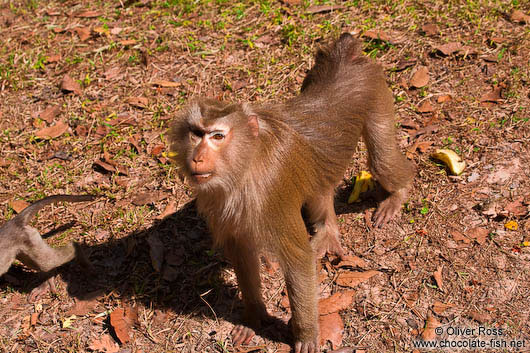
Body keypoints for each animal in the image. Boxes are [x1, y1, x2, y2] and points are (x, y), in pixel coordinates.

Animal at [168, 32, 412, 350]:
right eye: (196, 134)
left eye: (218, 136)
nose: (197, 157)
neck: (246, 166)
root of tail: (344, 59)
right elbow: (242, 251)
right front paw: (255, 318)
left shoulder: (271, 194)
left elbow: (297, 260)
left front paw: (306, 335)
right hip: (315, 79)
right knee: (318, 183)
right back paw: (327, 230)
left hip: (374, 91)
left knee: (382, 160)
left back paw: (399, 193)